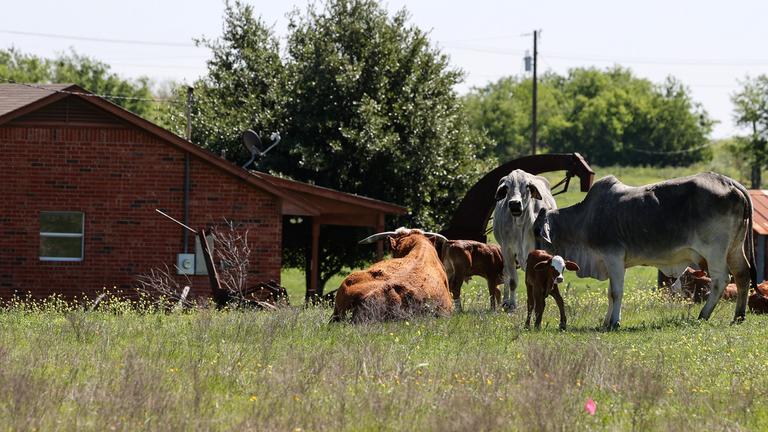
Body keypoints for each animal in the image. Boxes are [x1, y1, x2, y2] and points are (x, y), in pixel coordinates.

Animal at [493, 169, 557, 311]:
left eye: (527, 186)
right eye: (506, 187)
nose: (514, 204)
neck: (521, 224)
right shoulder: (507, 250)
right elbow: (512, 281)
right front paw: (512, 305)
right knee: (506, 274)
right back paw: (506, 302)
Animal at [532, 172, 757, 329]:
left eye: (536, 231)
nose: (534, 257)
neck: (586, 218)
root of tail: (729, 182)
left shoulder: (613, 256)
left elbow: (616, 292)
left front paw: (614, 322)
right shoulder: (615, 262)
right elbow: (610, 294)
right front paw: (606, 321)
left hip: (715, 251)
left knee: (721, 280)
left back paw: (704, 314)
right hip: (735, 248)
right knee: (742, 275)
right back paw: (738, 316)